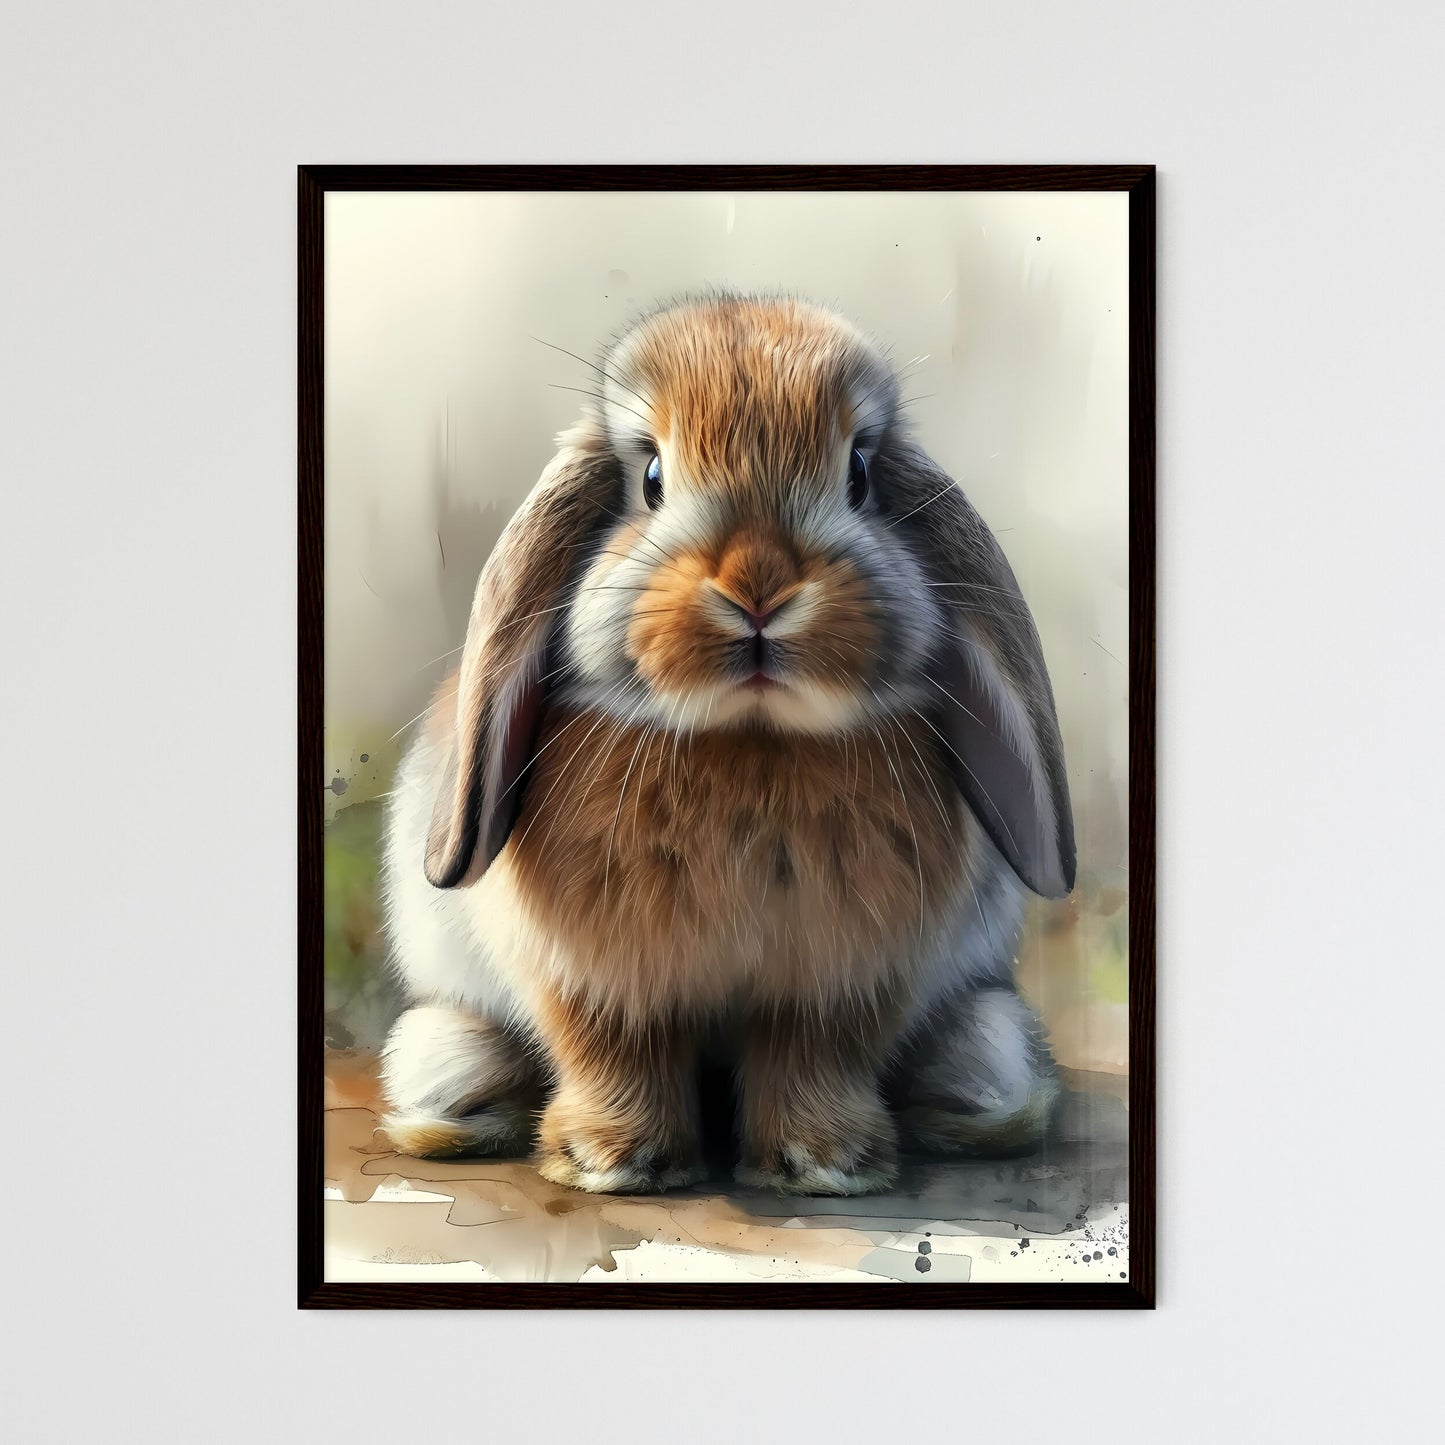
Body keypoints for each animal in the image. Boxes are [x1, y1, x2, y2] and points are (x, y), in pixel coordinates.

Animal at [377, 292, 1076, 1196]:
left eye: (858, 474)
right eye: (649, 478)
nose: (758, 585)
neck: (748, 737)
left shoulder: (838, 984)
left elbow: (814, 1057)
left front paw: (821, 1162)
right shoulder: (597, 982)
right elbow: (611, 1050)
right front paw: (613, 1160)